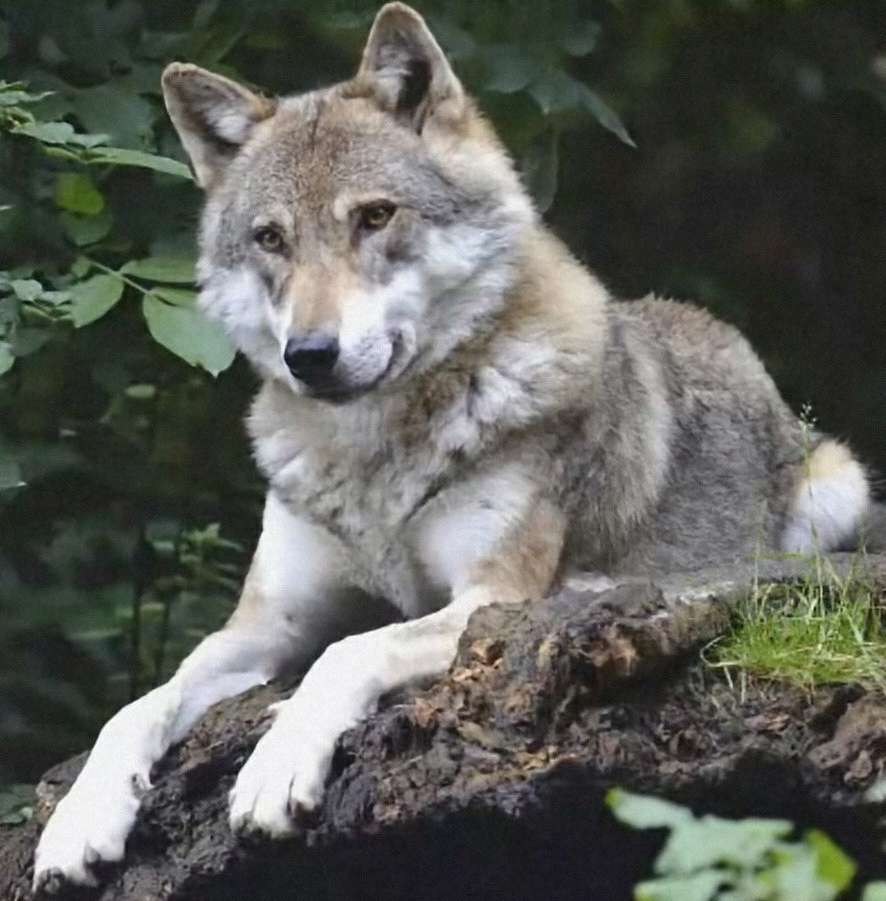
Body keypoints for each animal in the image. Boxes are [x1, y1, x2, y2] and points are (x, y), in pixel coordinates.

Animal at [33, 1, 876, 892]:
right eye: (270, 238)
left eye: (374, 216)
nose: (310, 354)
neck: (374, 461)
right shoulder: (263, 624)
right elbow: (138, 704)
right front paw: (79, 820)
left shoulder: (488, 597)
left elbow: (349, 650)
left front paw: (275, 764)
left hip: (836, 487)